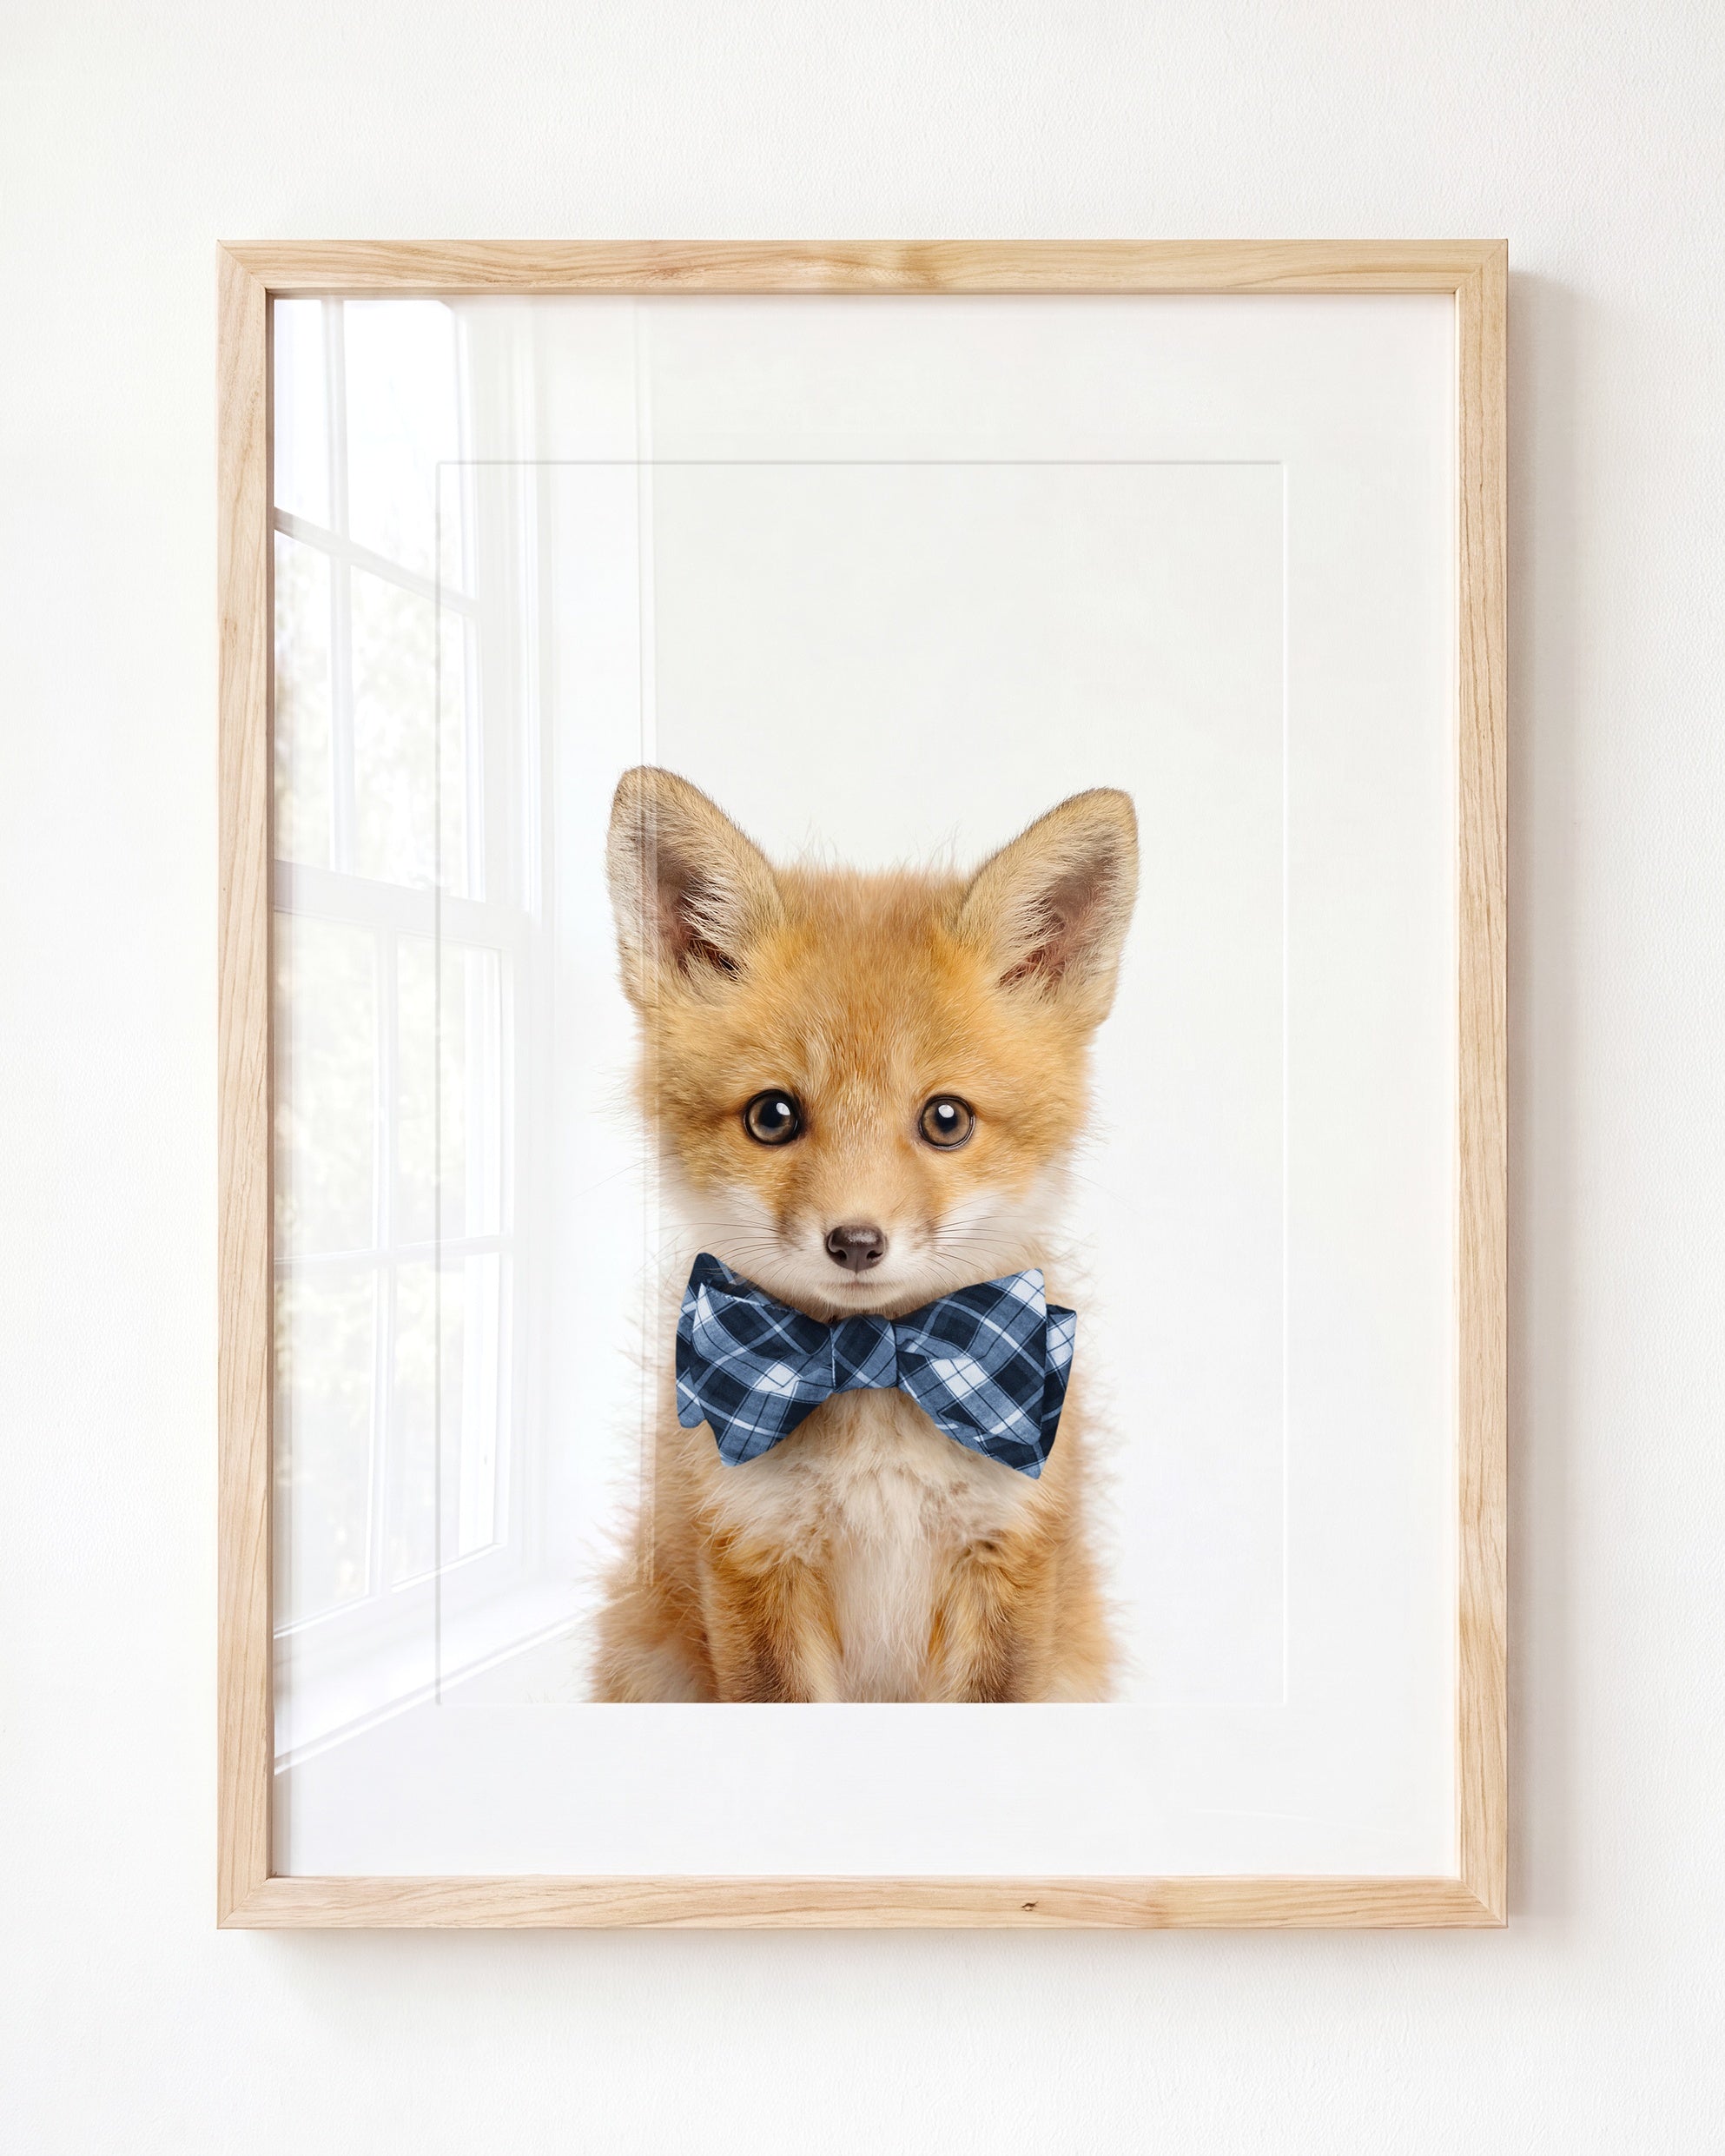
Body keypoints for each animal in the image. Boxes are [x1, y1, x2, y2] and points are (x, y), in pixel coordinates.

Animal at [590, 765, 1139, 1703]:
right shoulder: (752, 1556)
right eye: (772, 1116)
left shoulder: (1009, 1558)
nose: (855, 1242)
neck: (875, 1370)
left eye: (946, 1120)